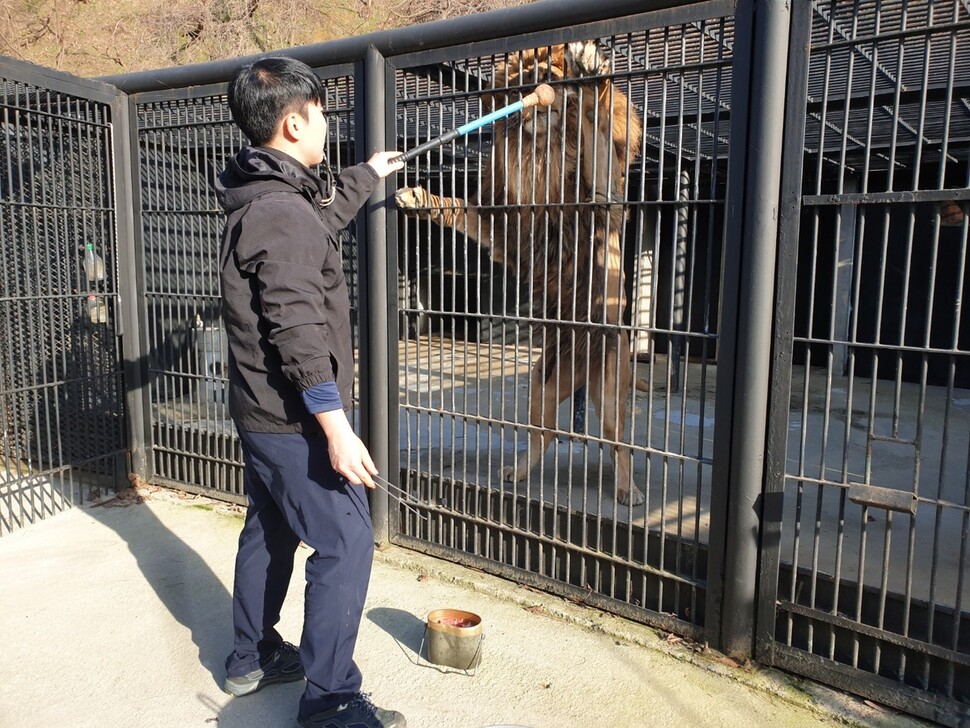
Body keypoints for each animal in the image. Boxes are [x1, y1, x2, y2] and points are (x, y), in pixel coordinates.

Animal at [394, 39, 644, 506]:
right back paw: (518, 473)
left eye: (547, 75)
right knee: (543, 435)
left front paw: (591, 75)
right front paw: (419, 199)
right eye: (519, 85)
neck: (541, 152)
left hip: (611, 388)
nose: (535, 99)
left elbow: (595, 127)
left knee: (618, 443)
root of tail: (582, 370)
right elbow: (456, 207)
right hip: (541, 385)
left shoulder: (600, 197)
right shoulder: (504, 224)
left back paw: (628, 491)